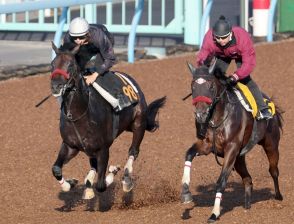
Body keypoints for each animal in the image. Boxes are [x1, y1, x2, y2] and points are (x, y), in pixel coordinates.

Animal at [49, 42, 167, 200]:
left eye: (71, 65)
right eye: (52, 64)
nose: (56, 86)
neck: (79, 114)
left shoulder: (103, 149)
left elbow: (101, 185)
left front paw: (114, 171)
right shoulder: (70, 146)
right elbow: (56, 169)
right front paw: (71, 183)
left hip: (138, 124)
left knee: (133, 151)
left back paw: (126, 179)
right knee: (93, 165)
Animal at [180, 62, 284, 222]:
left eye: (211, 86)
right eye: (193, 86)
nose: (200, 114)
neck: (218, 118)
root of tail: (270, 103)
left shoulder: (231, 149)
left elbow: (221, 181)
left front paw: (214, 213)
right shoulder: (207, 146)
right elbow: (189, 154)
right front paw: (186, 192)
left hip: (271, 144)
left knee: (273, 171)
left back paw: (278, 197)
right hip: (240, 158)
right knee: (248, 179)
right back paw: (247, 205)